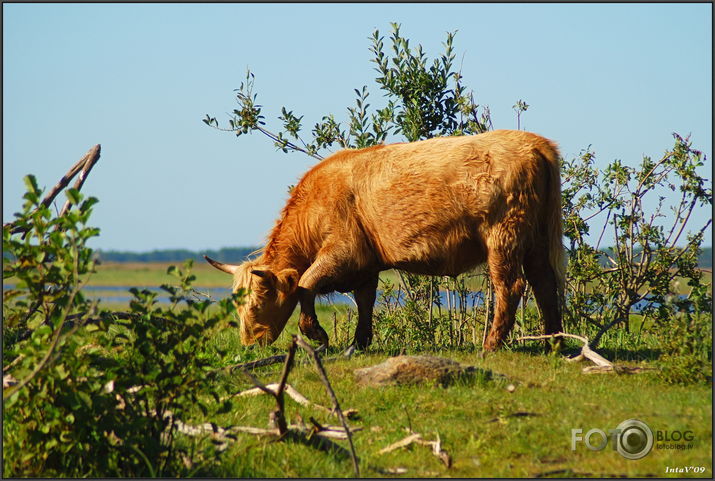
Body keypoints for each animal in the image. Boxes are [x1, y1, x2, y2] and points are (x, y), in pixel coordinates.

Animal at [206, 129, 564, 350]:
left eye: (255, 304)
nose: (249, 345)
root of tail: (533, 142)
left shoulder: (343, 252)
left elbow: (307, 284)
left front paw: (318, 335)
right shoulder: (365, 264)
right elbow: (365, 301)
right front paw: (360, 342)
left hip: (503, 235)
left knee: (511, 286)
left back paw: (491, 345)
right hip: (535, 240)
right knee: (545, 284)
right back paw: (554, 341)